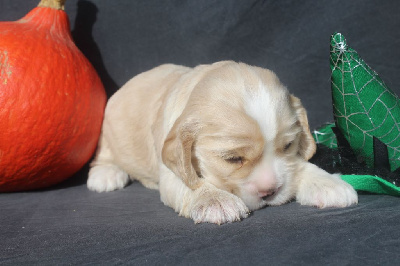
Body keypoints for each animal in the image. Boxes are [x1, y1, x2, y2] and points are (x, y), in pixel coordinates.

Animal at [86, 61, 356, 223]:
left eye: (288, 146)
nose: (270, 192)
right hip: (106, 128)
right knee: (103, 155)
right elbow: (191, 184)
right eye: (233, 159)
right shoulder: (171, 169)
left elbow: (299, 165)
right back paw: (106, 175)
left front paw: (327, 183)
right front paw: (216, 200)